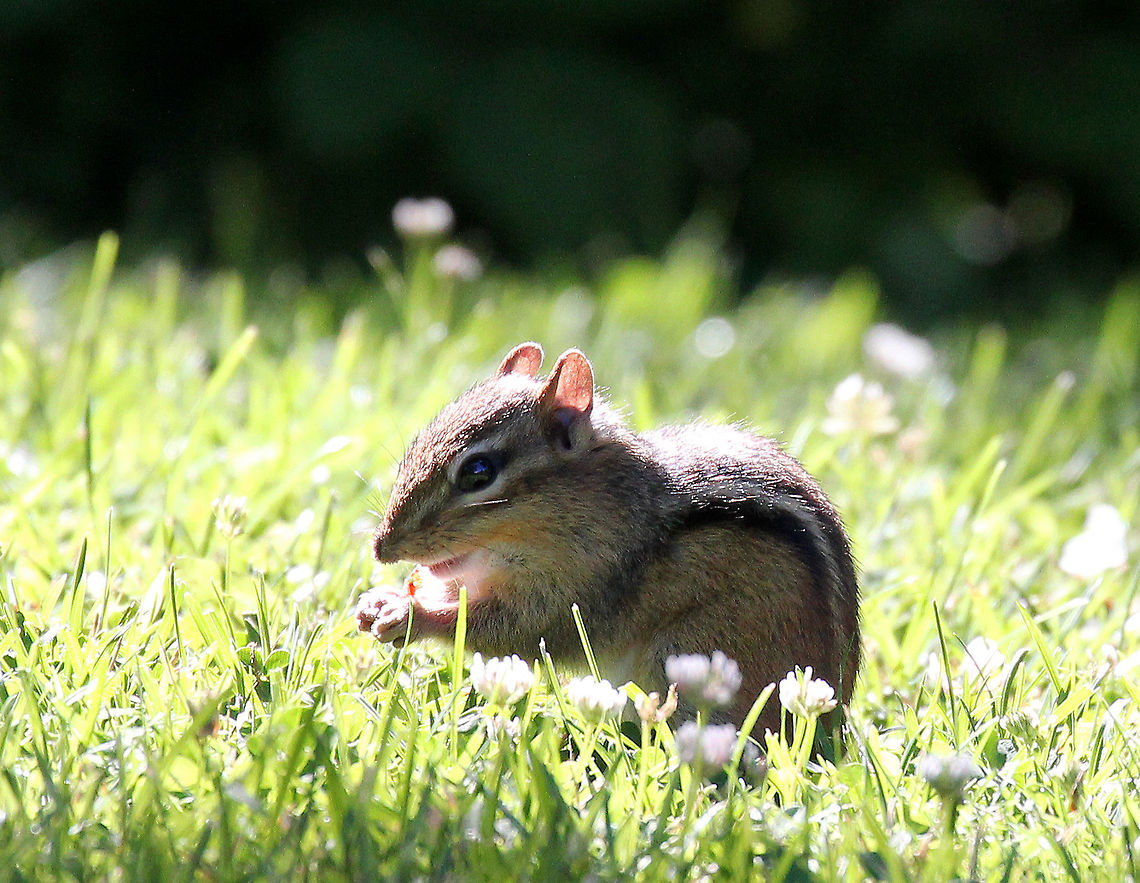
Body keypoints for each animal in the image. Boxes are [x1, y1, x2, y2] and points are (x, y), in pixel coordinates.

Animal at [357, 342, 859, 736]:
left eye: (478, 473)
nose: (382, 548)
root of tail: (834, 727)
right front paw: (379, 601)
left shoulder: (584, 588)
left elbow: (515, 631)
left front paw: (410, 615)